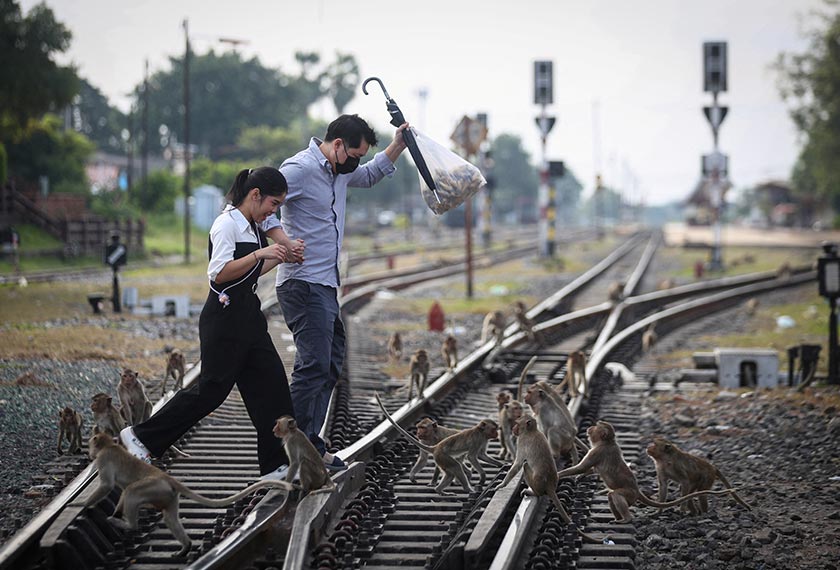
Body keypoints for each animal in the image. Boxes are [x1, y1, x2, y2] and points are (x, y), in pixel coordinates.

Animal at [85, 433, 296, 556]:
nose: (89, 453)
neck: (108, 446)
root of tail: (168, 477)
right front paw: (115, 511)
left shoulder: (103, 459)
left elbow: (107, 485)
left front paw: (86, 505)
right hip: (167, 495)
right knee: (169, 518)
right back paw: (185, 546)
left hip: (151, 487)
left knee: (131, 492)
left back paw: (129, 525)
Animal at [374, 392, 503, 495]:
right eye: (493, 429)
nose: (497, 434)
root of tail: (436, 447)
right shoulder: (478, 439)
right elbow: (472, 457)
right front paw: (483, 476)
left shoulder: (484, 440)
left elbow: (481, 455)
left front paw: (501, 464)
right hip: (442, 456)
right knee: (456, 466)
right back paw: (466, 488)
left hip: (442, 457)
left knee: (452, 471)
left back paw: (441, 489)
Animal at [495, 414, 604, 544]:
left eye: (517, 423)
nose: (514, 429)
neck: (531, 431)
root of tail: (550, 485)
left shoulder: (521, 442)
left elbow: (517, 465)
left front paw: (501, 484)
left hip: (537, 484)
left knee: (525, 465)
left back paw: (533, 492)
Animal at [556, 421, 738, 523]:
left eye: (595, 427)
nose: (590, 427)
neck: (606, 442)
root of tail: (637, 491)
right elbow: (590, 469)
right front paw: (581, 476)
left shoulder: (598, 451)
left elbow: (583, 466)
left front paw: (559, 474)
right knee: (611, 496)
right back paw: (618, 518)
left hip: (630, 495)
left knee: (616, 495)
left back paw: (626, 519)